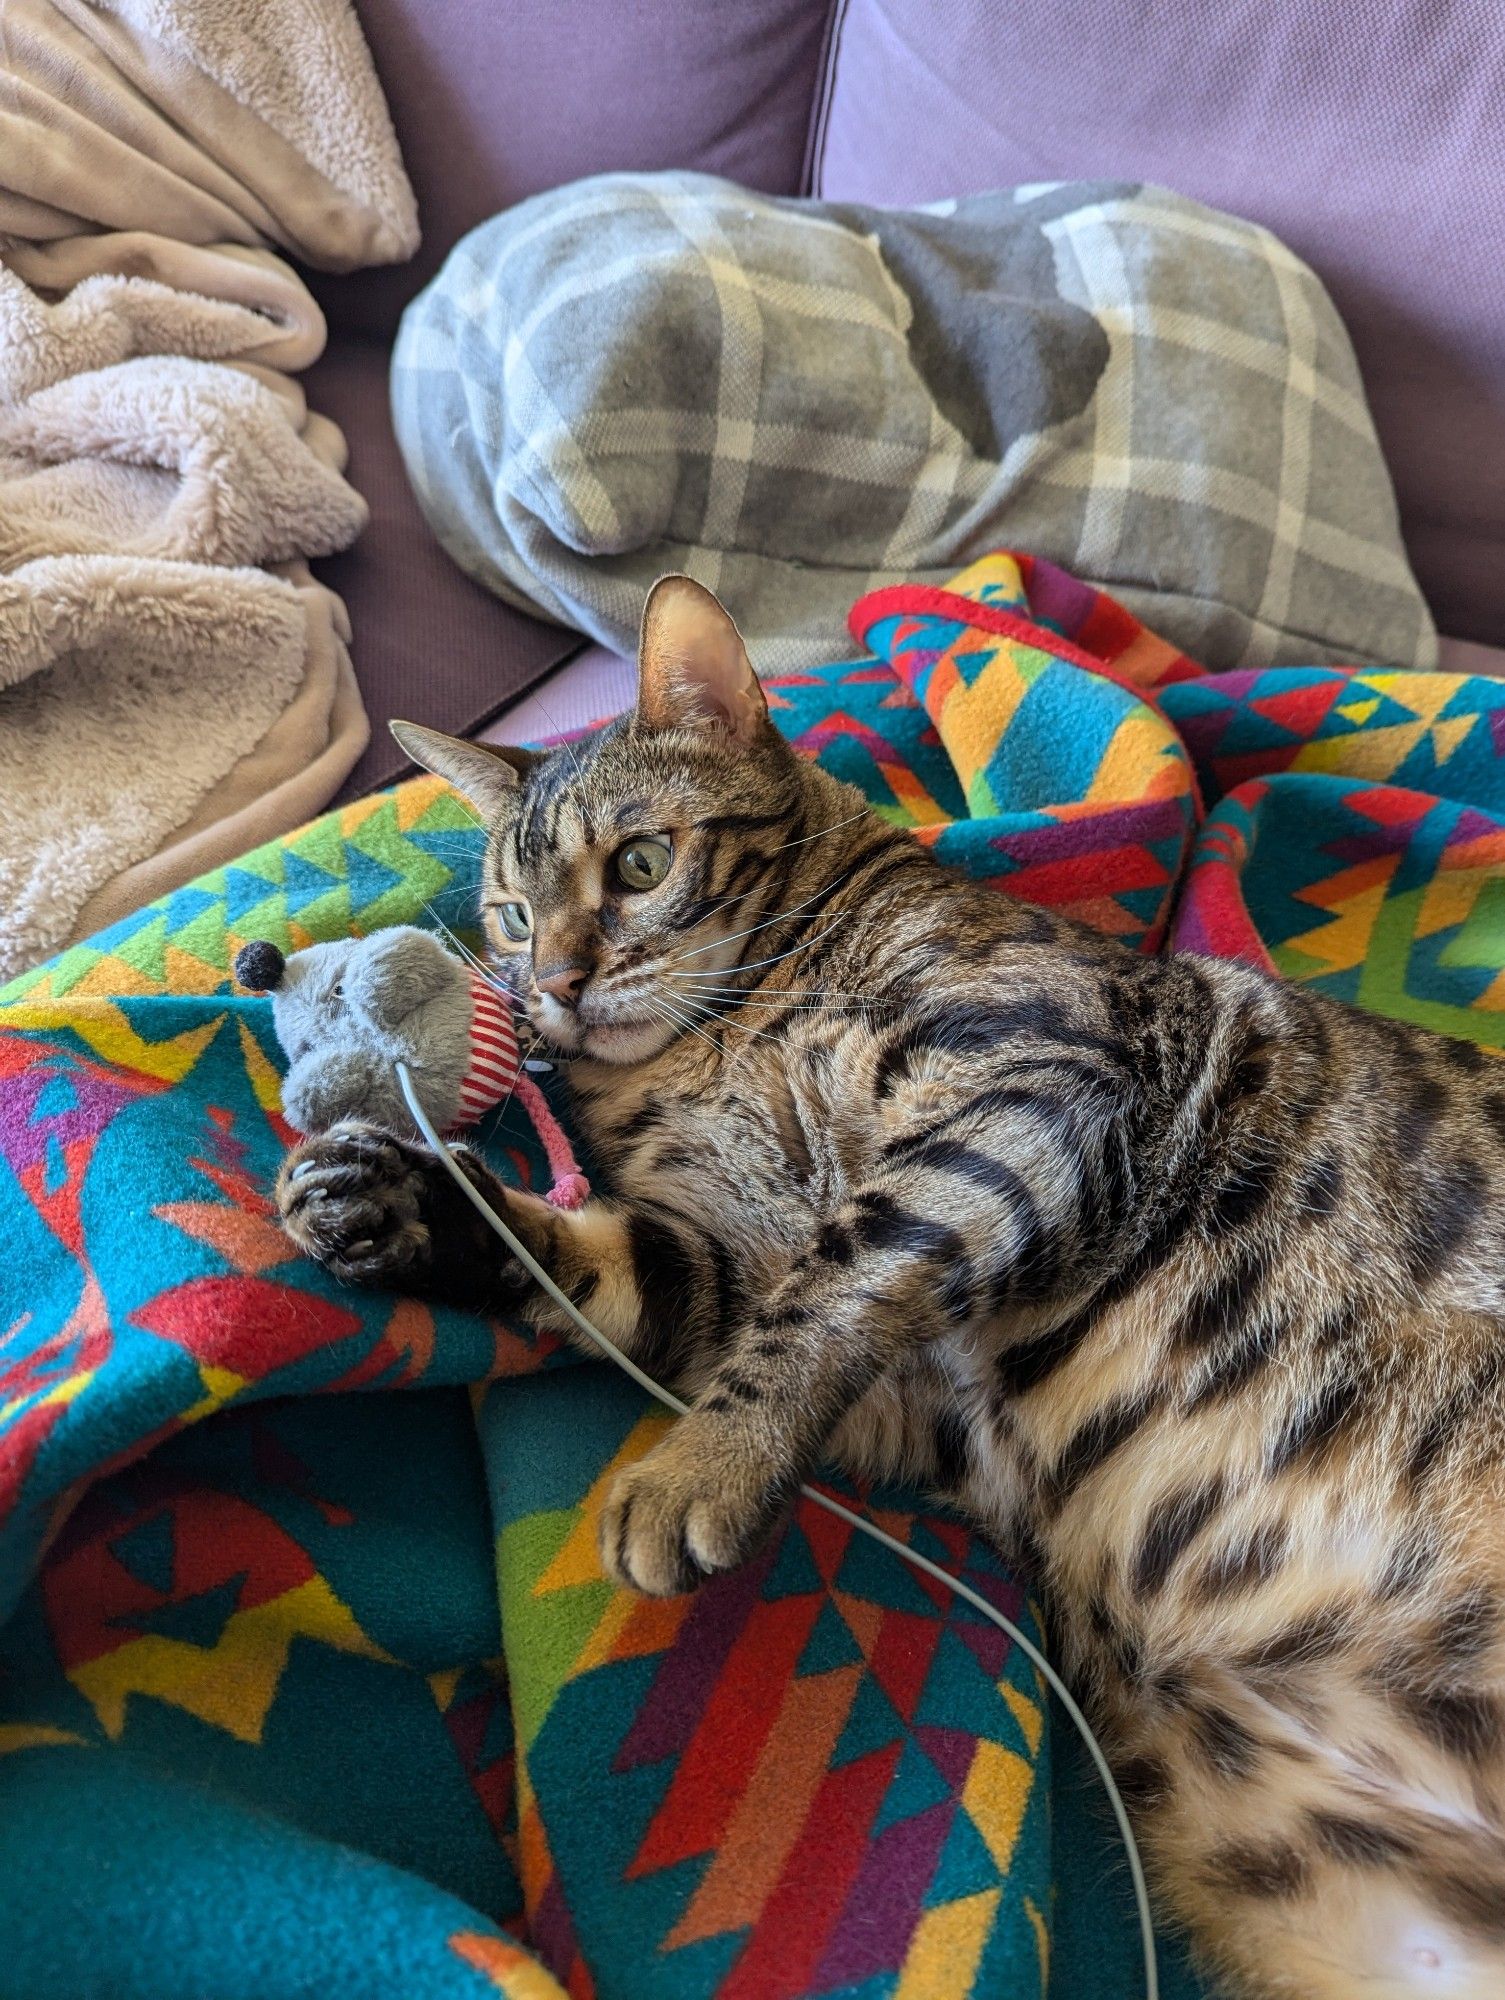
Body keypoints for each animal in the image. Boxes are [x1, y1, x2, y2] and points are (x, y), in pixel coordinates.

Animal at [276, 572, 1505, 1992]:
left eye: (638, 863)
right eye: (513, 916)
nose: (557, 987)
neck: (706, 1052)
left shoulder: (1031, 1081)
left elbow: (839, 1275)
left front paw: (695, 1471)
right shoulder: (757, 1283)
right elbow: (605, 1265)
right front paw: (402, 1199)